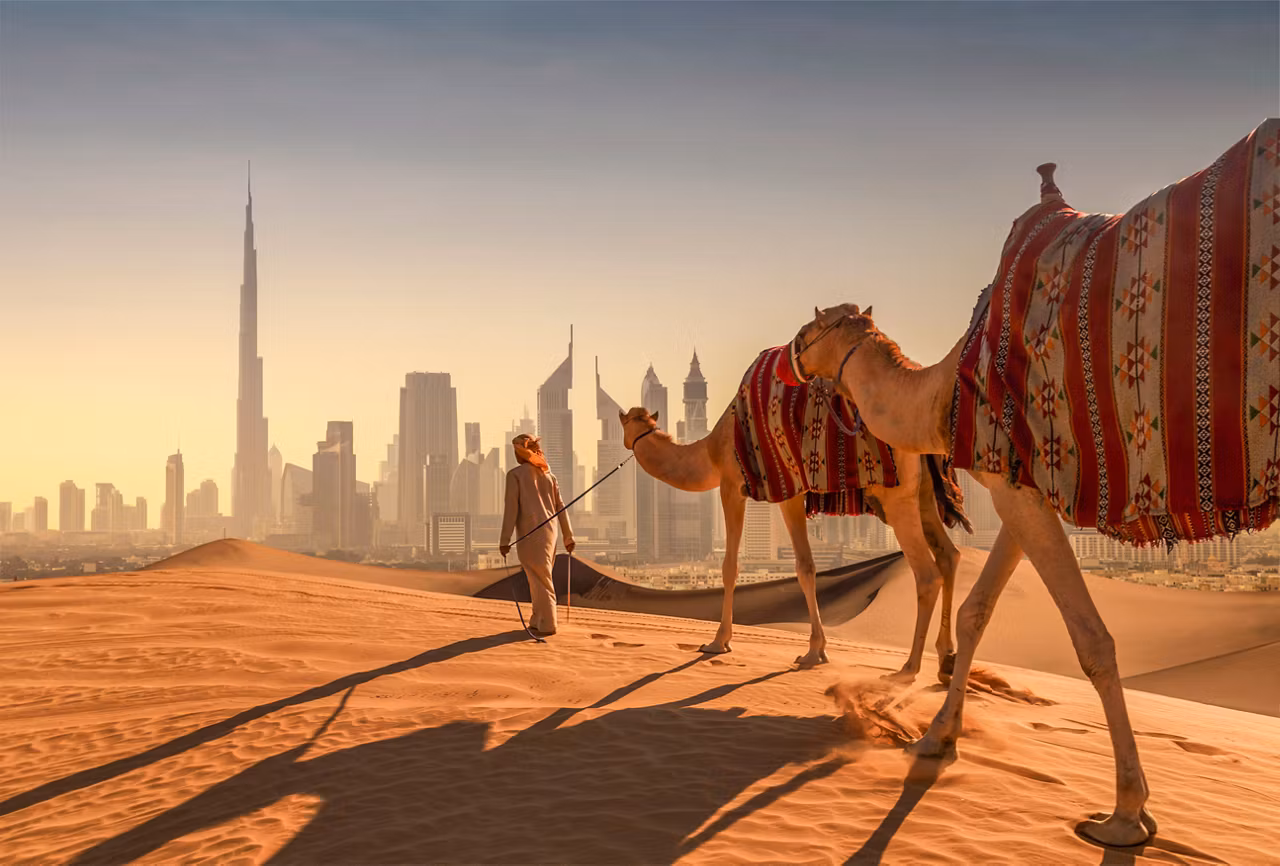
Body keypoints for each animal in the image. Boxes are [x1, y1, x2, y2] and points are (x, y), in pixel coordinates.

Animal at [618, 402, 966, 677]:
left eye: (625, 422)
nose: (624, 444)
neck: (709, 452)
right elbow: (805, 566)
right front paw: (817, 650)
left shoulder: (735, 486)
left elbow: (737, 566)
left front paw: (719, 642)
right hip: (924, 494)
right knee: (950, 555)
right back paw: (946, 658)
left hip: (896, 496)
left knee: (926, 573)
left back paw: (909, 668)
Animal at [791, 117, 1280, 846]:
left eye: (811, 327)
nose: (789, 358)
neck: (943, 389)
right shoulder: (1018, 481)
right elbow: (979, 610)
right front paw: (937, 737)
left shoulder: (1014, 476)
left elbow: (1093, 640)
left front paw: (1127, 810)